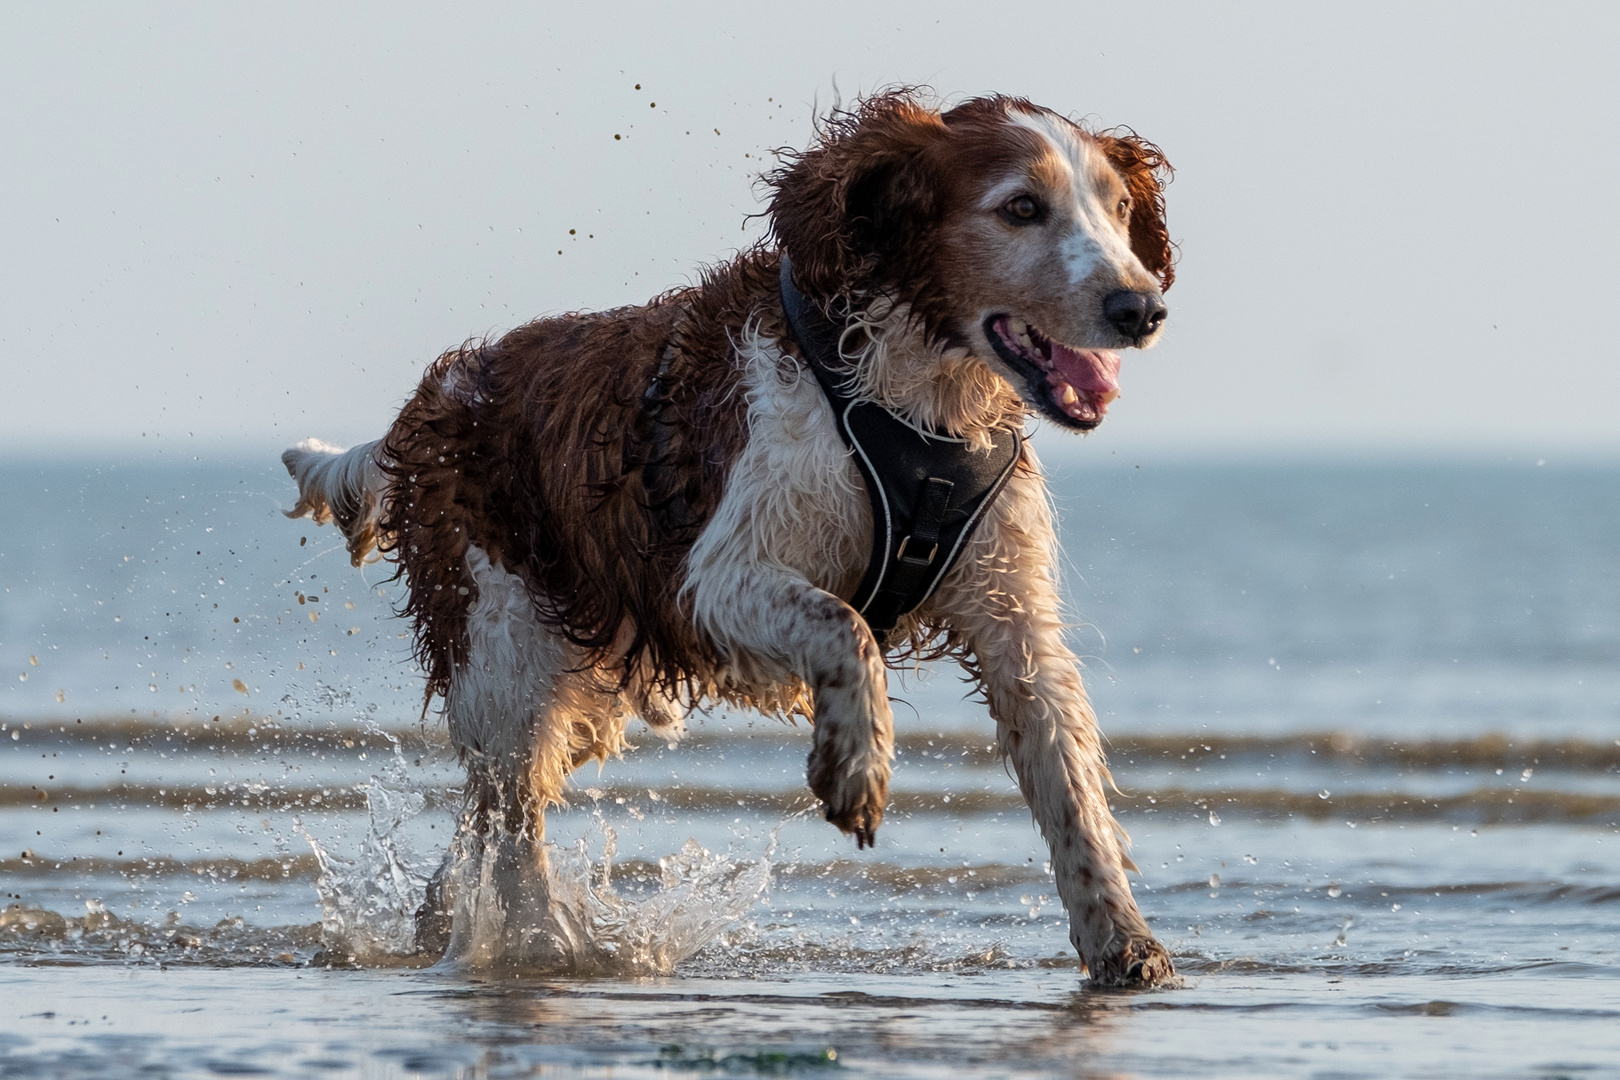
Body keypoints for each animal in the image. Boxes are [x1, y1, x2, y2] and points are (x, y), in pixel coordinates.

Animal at [285, 90, 1179, 990]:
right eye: (1021, 208)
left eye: (1119, 208)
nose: (1141, 308)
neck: (909, 398)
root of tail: (430, 402)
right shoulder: (716, 576)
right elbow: (845, 627)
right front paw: (857, 764)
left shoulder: (1012, 620)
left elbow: (1070, 786)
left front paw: (1124, 940)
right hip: (503, 653)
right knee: (510, 817)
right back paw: (536, 942)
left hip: (585, 683)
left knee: (487, 821)